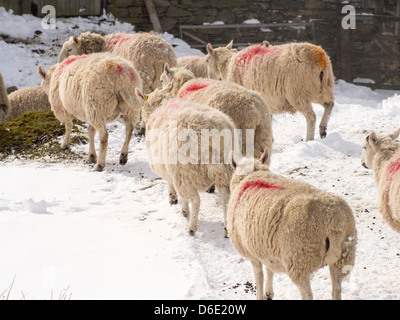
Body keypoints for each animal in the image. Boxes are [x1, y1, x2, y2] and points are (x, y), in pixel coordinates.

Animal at [135, 86, 234, 236]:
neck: (161, 104)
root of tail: (212, 134)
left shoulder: (168, 167)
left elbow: (171, 184)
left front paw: (176, 202)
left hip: (185, 171)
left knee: (196, 200)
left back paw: (191, 227)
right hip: (223, 168)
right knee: (226, 198)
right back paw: (227, 229)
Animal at [205, 40, 336, 141]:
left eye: (206, 60)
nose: (209, 77)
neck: (227, 67)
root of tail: (320, 57)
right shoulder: (267, 103)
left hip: (298, 93)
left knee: (311, 116)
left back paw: (309, 138)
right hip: (321, 88)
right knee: (329, 104)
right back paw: (322, 130)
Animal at [228, 148, 356, 300]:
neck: (253, 176)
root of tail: (333, 222)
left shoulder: (252, 253)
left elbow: (259, 276)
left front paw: (261, 295)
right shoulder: (266, 247)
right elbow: (269, 270)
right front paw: (269, 292)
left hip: (299, 261)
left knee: (308, 294)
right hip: (342, 258)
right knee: (336, 291)